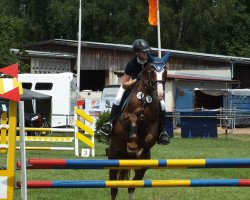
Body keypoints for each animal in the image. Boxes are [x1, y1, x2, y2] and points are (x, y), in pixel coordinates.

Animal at [107, 52, 170, 199]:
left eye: (165, 71)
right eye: (152, 71)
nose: (160, 94)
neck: (144, 100)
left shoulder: (154, 126)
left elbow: (150, 137)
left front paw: (139, 150)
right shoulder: (124, 118)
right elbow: (133, 118)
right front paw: (132, 145)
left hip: (141, 170)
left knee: (131, 187)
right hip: (114, 159)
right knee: (114, 188)